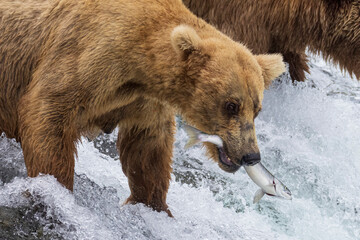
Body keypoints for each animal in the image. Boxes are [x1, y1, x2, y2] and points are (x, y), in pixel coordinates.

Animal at [0, 0, 284, 215]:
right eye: (231, 105)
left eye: (257, 109)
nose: (251, 155)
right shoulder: (87, 57)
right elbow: (48, 113)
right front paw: (57, 189)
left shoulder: (143, 100)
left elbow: (147, 149)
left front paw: (156, 205)